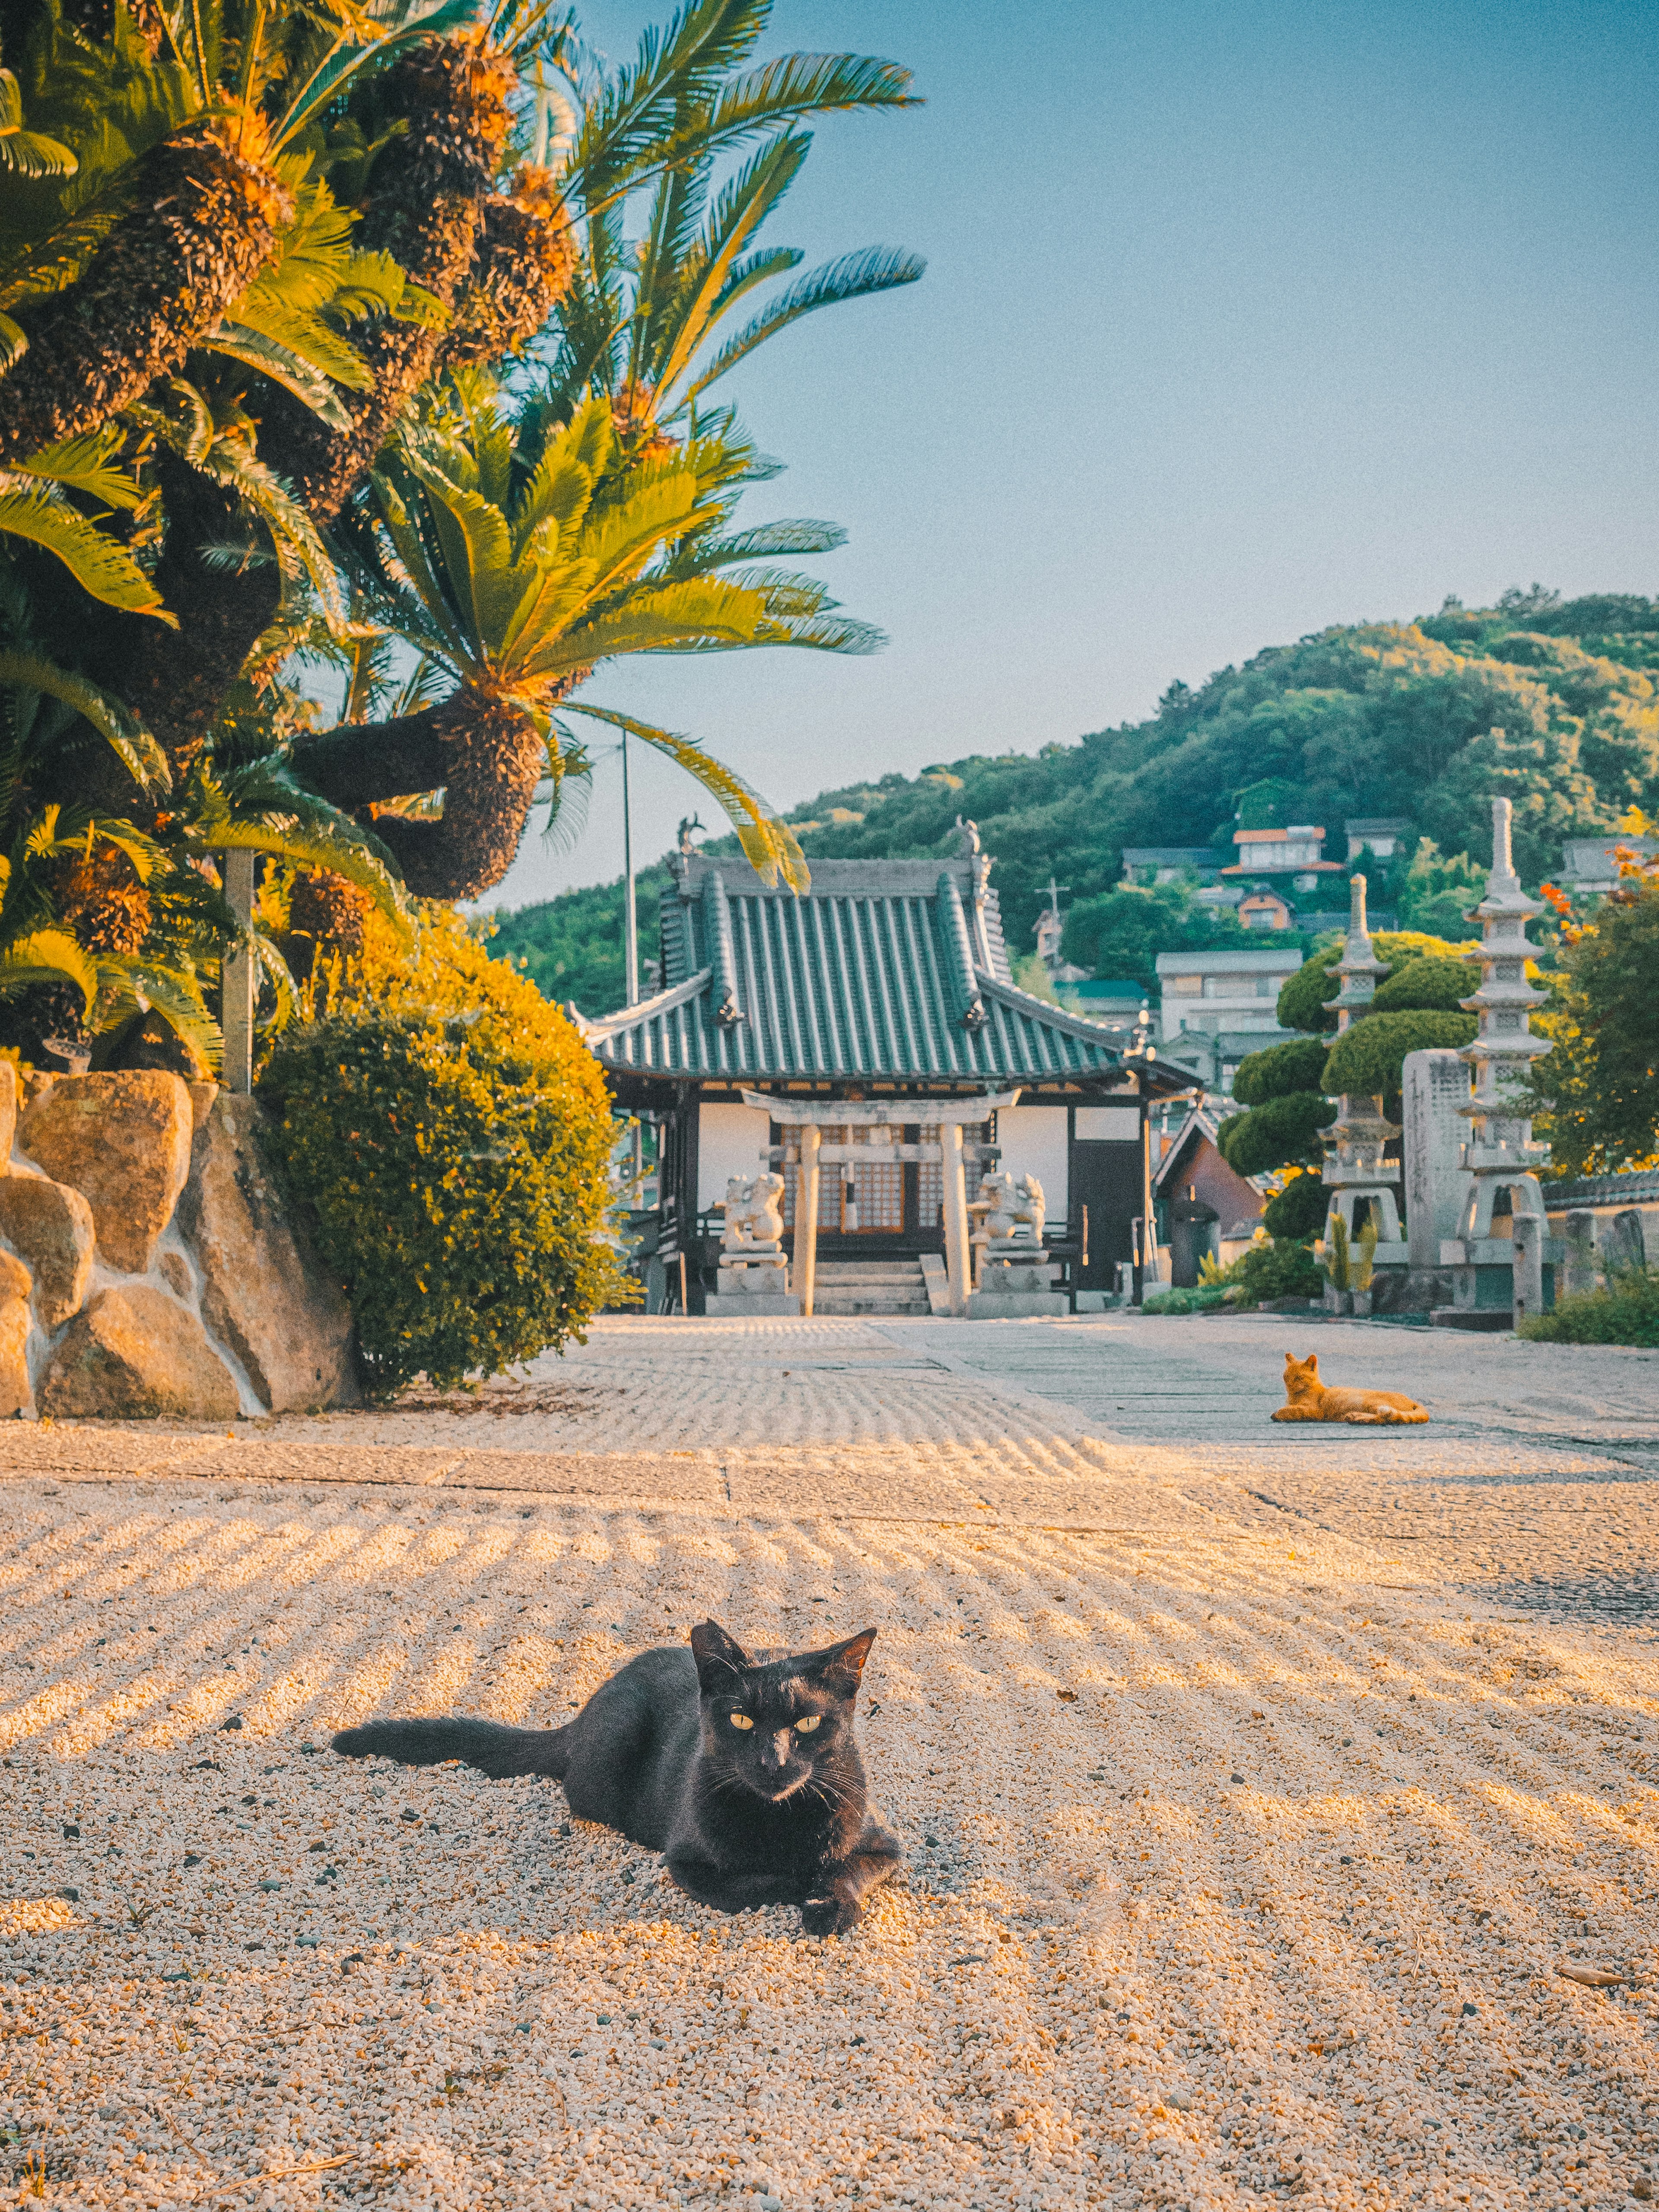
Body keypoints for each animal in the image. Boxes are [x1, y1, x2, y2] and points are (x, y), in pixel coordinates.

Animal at [334, 1628, 902, 1938]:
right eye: (742, 1720)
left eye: (808, 1723)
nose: (772, 1760)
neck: (778, 1815)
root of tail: (585, 1711)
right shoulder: (687, 1862)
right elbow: (754, 1884)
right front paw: (804, 1887)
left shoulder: (885, 1845)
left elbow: (849, 1870)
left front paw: (831, 1902)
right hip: (613, 1746)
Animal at [1274, 1354, 1433, 1424]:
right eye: (1287, 1377)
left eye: (1299, 1378)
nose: (1290, 1385)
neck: (1294, 1397)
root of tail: (1414, 1401)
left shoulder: (1316, 1411)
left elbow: (1292, 1410)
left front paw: (1278, 1414)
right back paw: (1354, 1416)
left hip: (1372, 1404)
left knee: (1386, 1418)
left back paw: (1359, 1418)